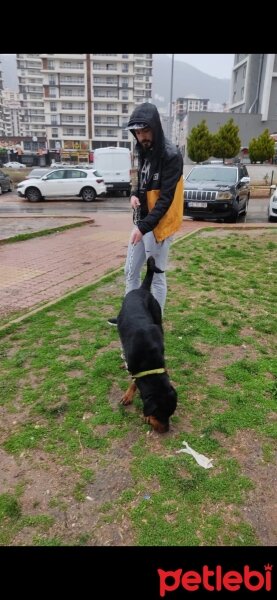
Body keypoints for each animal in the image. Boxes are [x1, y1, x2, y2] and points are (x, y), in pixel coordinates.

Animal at [116, 255, 177, 434]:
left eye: (170, 414)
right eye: (159, 414)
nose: (166, 430)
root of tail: (142, 289)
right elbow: (133, 380)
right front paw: (128, 395)